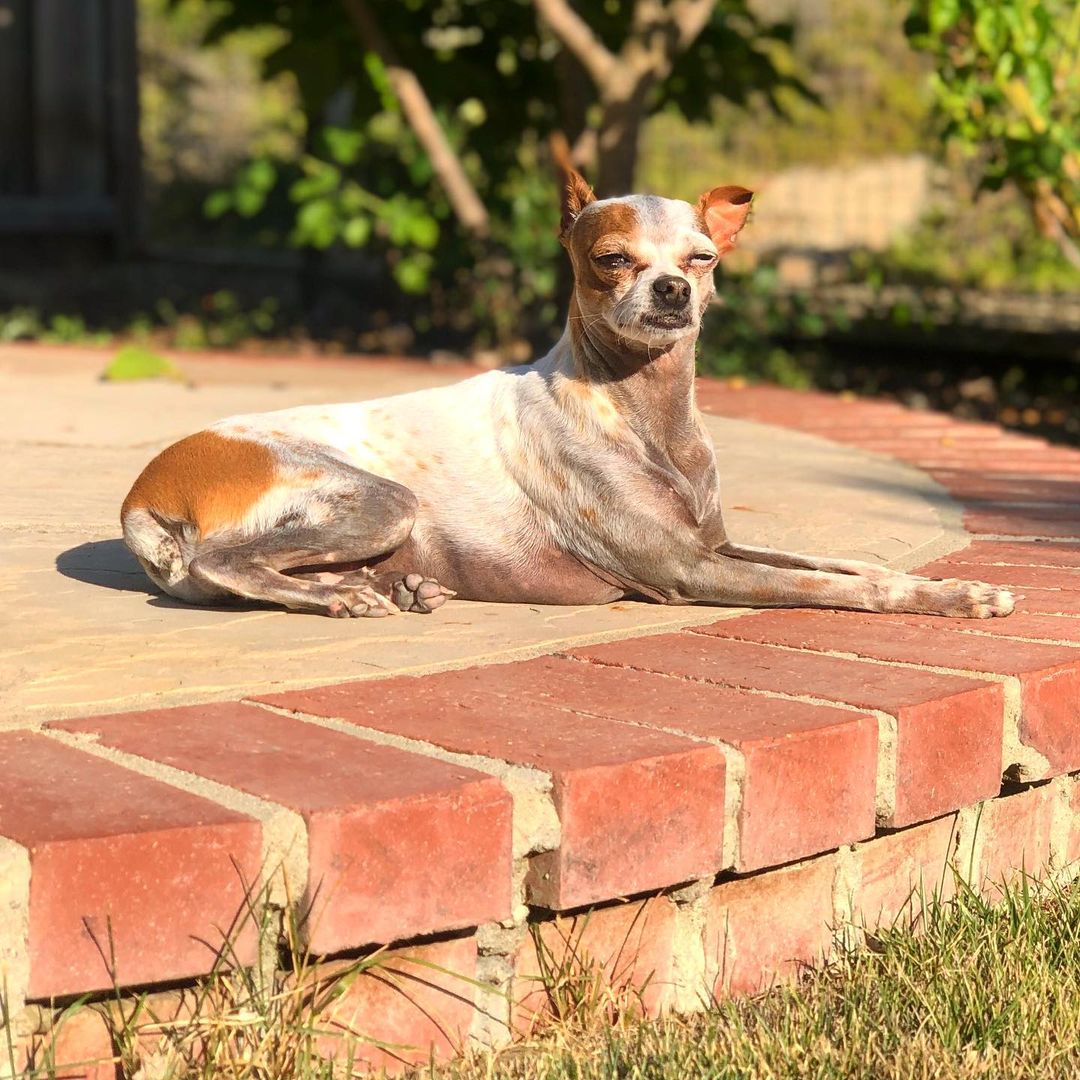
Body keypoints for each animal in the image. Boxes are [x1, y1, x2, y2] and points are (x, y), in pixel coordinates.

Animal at [122, 168, 1015, 626]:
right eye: (612, 258)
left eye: (701, 259)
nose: (670, 293)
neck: (648, 419)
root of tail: (143, 492)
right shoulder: (686, 569)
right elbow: (849, 586)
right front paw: (947, 597)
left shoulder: (718, 546)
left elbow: (844, 562)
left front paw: (957, 585)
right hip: (381, 500)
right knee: (225, 564)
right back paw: (339, 595)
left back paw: (399, 588)